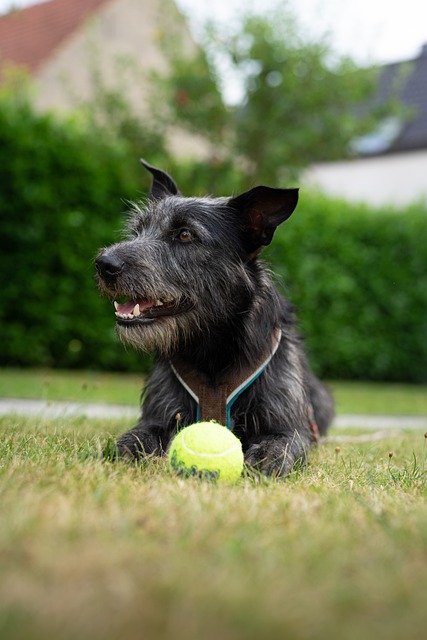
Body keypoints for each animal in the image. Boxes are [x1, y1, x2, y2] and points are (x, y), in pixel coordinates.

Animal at [96, 161, 334, 476]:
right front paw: (126, 451)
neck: (212, 349)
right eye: (137, 230)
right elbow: (135, 436)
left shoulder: (287, 425)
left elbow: (283, 443)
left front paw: (267, 457)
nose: (104, 264)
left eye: (185, 234)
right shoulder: (158, 416)